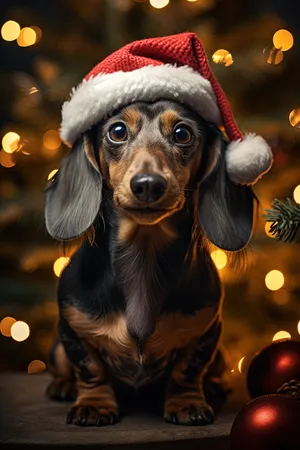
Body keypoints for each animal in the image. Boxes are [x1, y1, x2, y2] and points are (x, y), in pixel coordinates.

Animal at [45, 100, 255, 428]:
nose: (148, 185)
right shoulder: (73, 329)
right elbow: (90, 369)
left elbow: (188, 370)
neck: (143, 255)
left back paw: (213, 385)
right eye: (117, 131)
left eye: (182, 133)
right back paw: (62, 386)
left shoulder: (206, 330)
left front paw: (187, 403)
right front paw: (94, 405)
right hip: (56, 351)